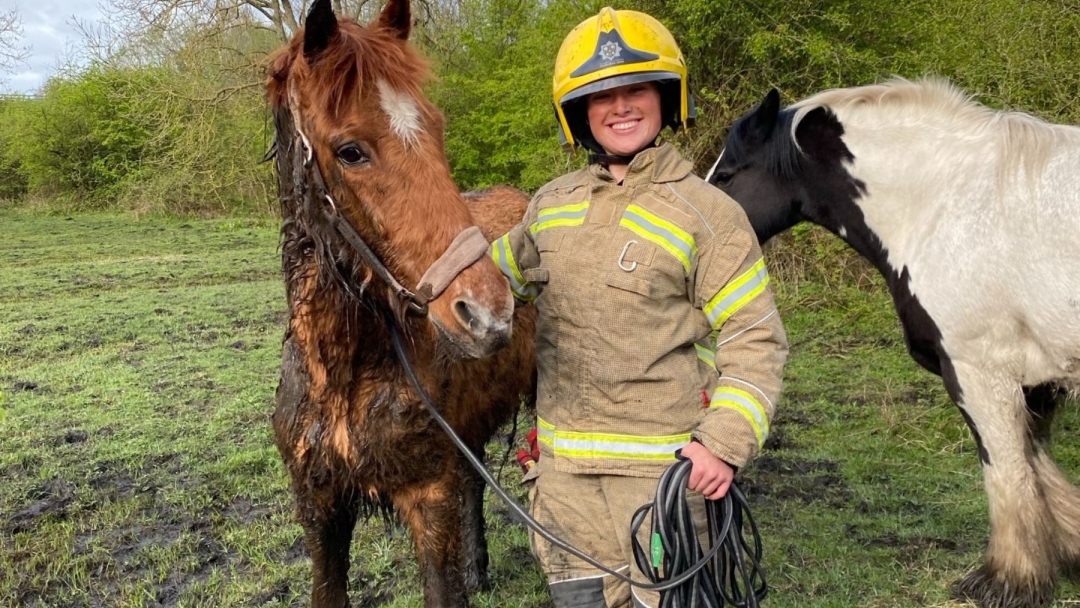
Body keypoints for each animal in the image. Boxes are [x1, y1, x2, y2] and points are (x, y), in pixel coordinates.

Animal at [265, 1, 535, 608]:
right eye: (350, 151)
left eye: (436, 128)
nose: (489, 312)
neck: (342, 376)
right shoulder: (320, 510)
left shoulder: (428, 497)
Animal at [708, 77, 1080, 608]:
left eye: (726, 176)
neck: (948, 202)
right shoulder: (1039, 381)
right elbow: (1035, 465)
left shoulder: (979, 371)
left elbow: (1007, 466)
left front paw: (1007, 579)